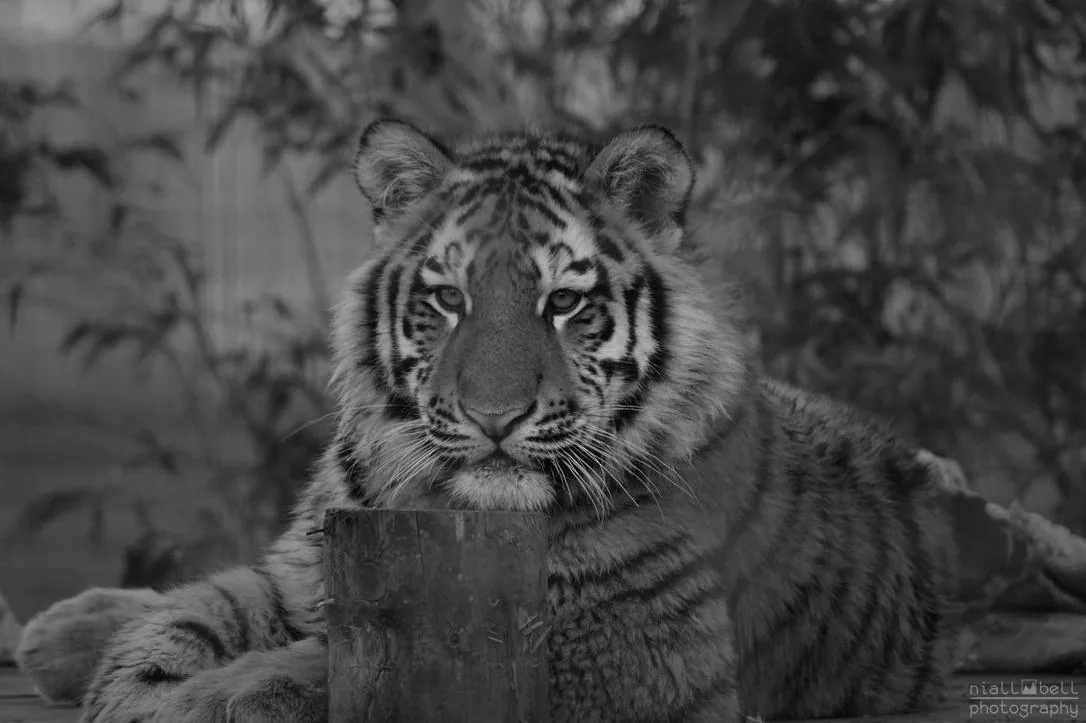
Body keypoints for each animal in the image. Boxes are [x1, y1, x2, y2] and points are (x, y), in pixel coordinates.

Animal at [15, 119, 960, 722]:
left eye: (565, 303)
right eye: (448, 298)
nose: (495, 416)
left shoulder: (621, 655)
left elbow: (344, 661)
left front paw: (202, 696)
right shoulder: (311, 560)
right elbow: (202, 608)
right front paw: (132, 670)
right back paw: (55, 630)